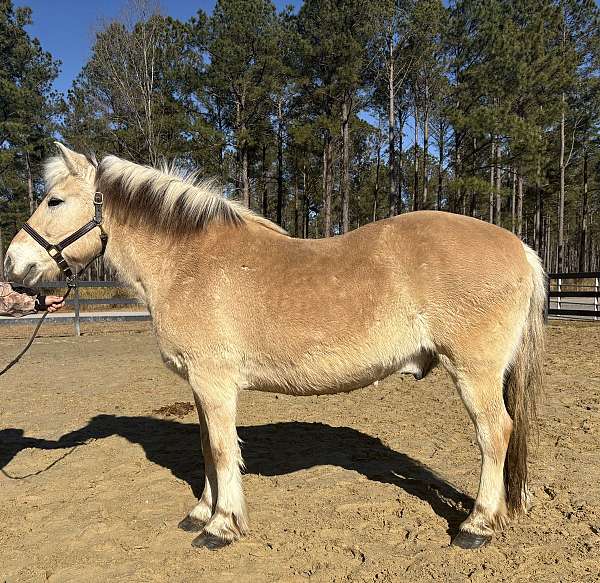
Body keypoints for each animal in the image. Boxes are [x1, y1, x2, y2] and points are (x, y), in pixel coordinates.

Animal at [4, 144, 548, 548]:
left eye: (54, 201)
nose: (13, 266)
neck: (186, 262)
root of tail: (521, 247)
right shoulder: (202, 387)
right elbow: (207, 447)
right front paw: (201, 511)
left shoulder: (214, 383)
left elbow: (223, 450)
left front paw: (222, 526)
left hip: (474, 373)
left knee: (495, 434)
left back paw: (477, 525)